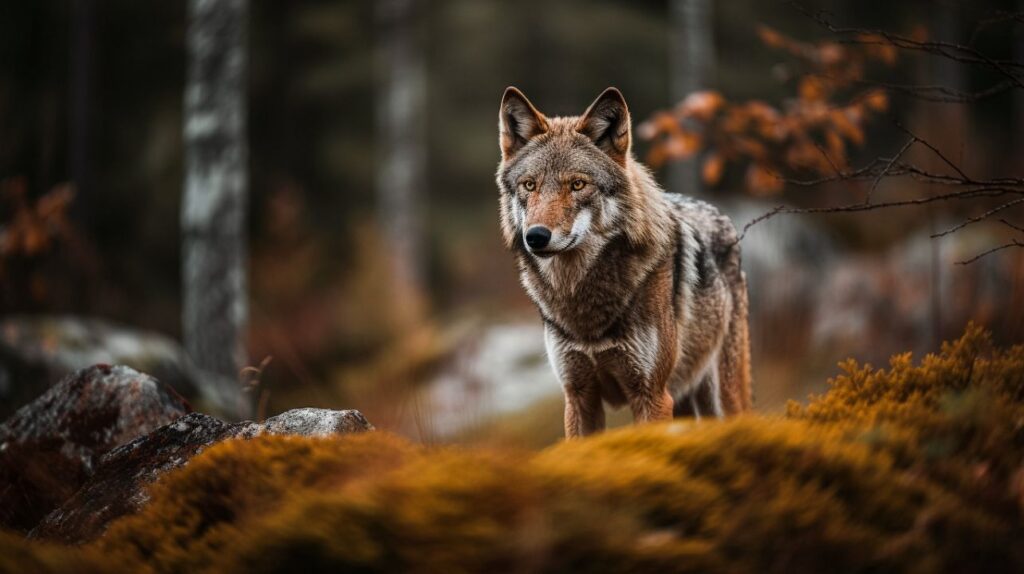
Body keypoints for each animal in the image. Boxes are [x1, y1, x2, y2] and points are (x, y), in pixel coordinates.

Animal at [496, 86, 752, 438]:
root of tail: (721, 215)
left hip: (721, 397)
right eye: (529, 185)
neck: (583, 304)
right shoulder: (578, 396)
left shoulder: (652, 395)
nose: (535, 236)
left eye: (578, 184)